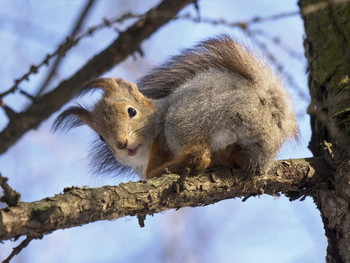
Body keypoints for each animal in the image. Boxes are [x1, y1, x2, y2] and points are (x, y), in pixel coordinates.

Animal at [53, 34, 300, 179]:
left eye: (131, 111)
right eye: (101, 137)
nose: (121, 144)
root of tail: (265, 104)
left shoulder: (162, 140)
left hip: (184, 119)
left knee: (199, 155)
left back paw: (162, 171)